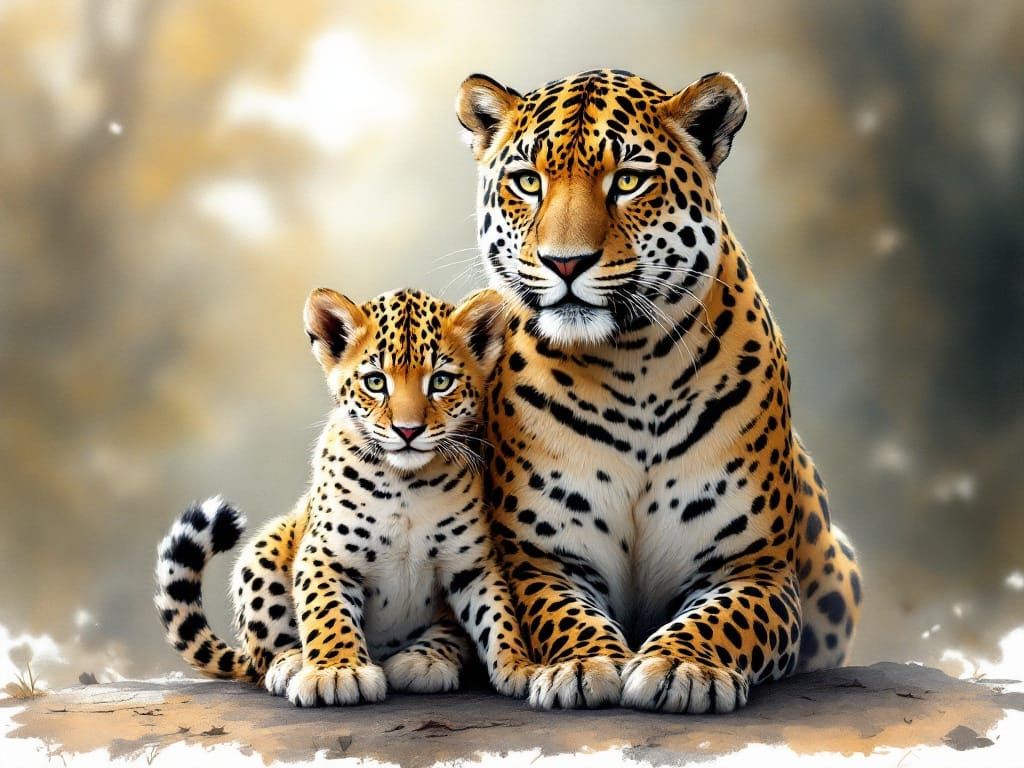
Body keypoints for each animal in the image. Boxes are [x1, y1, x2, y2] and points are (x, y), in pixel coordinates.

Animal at [155, 287, 538, 706]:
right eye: (375, 382)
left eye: (440, 382)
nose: (408, 431)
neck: (406, 484)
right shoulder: (326, 555)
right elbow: (327, 613)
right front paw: (337, 672)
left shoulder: (473, 565)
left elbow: (499, 616)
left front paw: (522, 667)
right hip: (264, 550)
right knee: (261, 656)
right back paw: (290, 663)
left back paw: (426, 659)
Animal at [455, 68, 863, 713]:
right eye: (527, 182)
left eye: (627, 181)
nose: (564, 263)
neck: (632, 363)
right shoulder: (541, 561)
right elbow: (562, 615)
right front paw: (583, 664)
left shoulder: (756, 570)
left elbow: (723, 619)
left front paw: (680, 666)